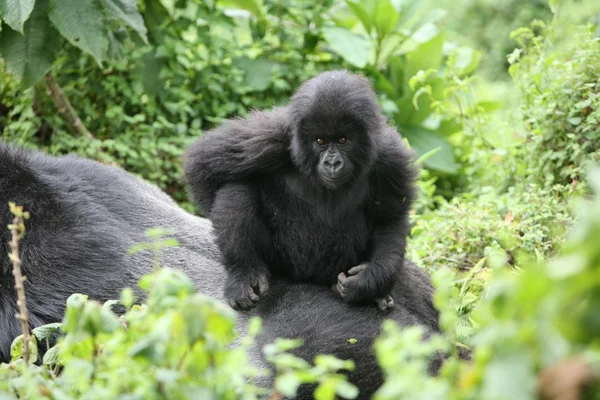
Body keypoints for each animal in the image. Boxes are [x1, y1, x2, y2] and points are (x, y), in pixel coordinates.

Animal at [184, 70, 418, 310]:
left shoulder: (391, 157)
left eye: (343, 139)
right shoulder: (268, 136)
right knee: (236, 189)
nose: (332, 163)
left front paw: (370, 279)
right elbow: (203, 167)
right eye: (320, 141)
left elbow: (390, 219)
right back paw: (244, 271)